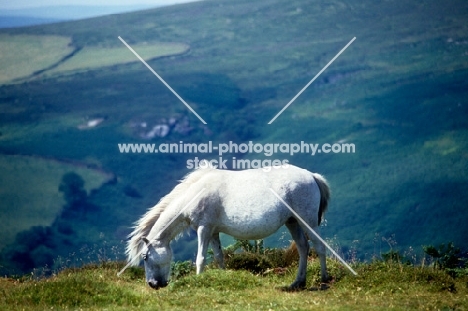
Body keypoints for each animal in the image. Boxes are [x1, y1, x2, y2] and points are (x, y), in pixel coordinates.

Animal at [124, 165, 330, 292]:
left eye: (145, 256)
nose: (153, 284)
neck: (194, 193)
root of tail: (312, 176)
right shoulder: (214, 232)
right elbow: (218, 256)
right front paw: (222, 278)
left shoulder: (204, 229)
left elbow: (200, 259)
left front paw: (198, 281)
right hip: (292, 222)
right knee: (303, 247)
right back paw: (298, 282)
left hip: (308, 221)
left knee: (319, 247)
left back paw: (323, 280)